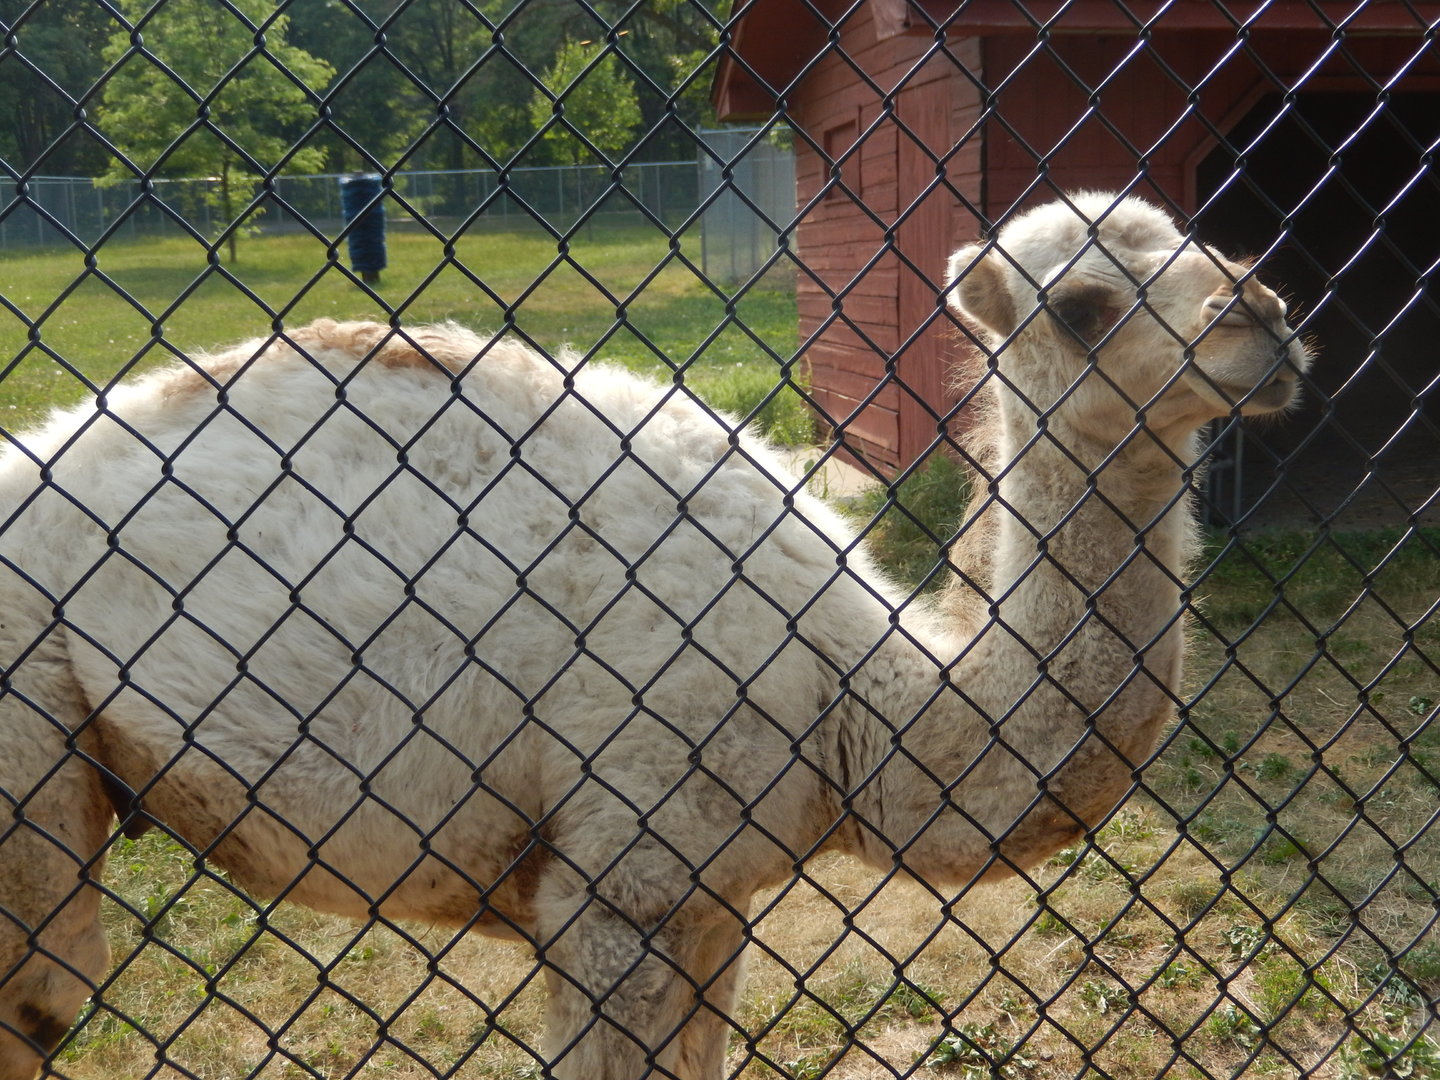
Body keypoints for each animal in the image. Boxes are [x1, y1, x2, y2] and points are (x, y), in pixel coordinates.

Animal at [0, 192, 1308, 1080]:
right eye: (1081, 307)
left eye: (1203, 240)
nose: (1264, 312)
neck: (856, 696)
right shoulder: (620, 878)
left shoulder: (715, 893)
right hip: (27, 743)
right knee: (41, 997)